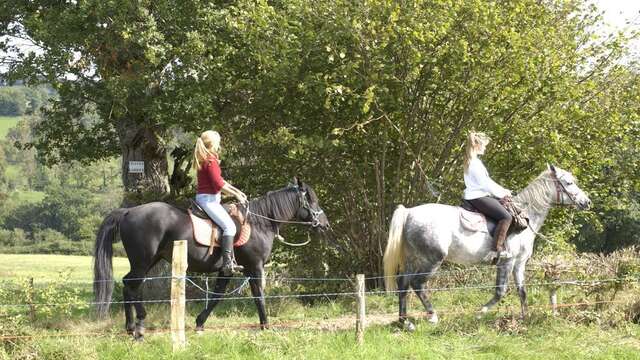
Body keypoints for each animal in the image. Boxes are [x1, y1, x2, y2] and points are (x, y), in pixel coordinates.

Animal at [94, 179, 330, 338]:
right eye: (312, 200)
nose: (325, 225)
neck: (259, 223)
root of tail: (128, 212)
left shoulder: (226, 271)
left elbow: (217, 296)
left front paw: (200, 322)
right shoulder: (255, 267)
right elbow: (259, 296)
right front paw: (265, 325)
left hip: (149, 260)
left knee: (128, 284)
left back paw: (130, 326)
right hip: (143, 261)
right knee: (133, 285)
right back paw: (140, 323)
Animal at [384, 165, 592, 330]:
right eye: (569, 183)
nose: (587, 202)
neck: (525, 217)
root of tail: (409, 213)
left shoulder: (519, 264)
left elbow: (522, 291)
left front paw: (525, 318)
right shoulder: (507, 262)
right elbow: (500, 292)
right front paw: (480, 313)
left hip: (412, 259)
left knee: (403, 284)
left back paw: (404, 322)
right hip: (432, 259)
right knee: (417, 284)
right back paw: (432, 316)